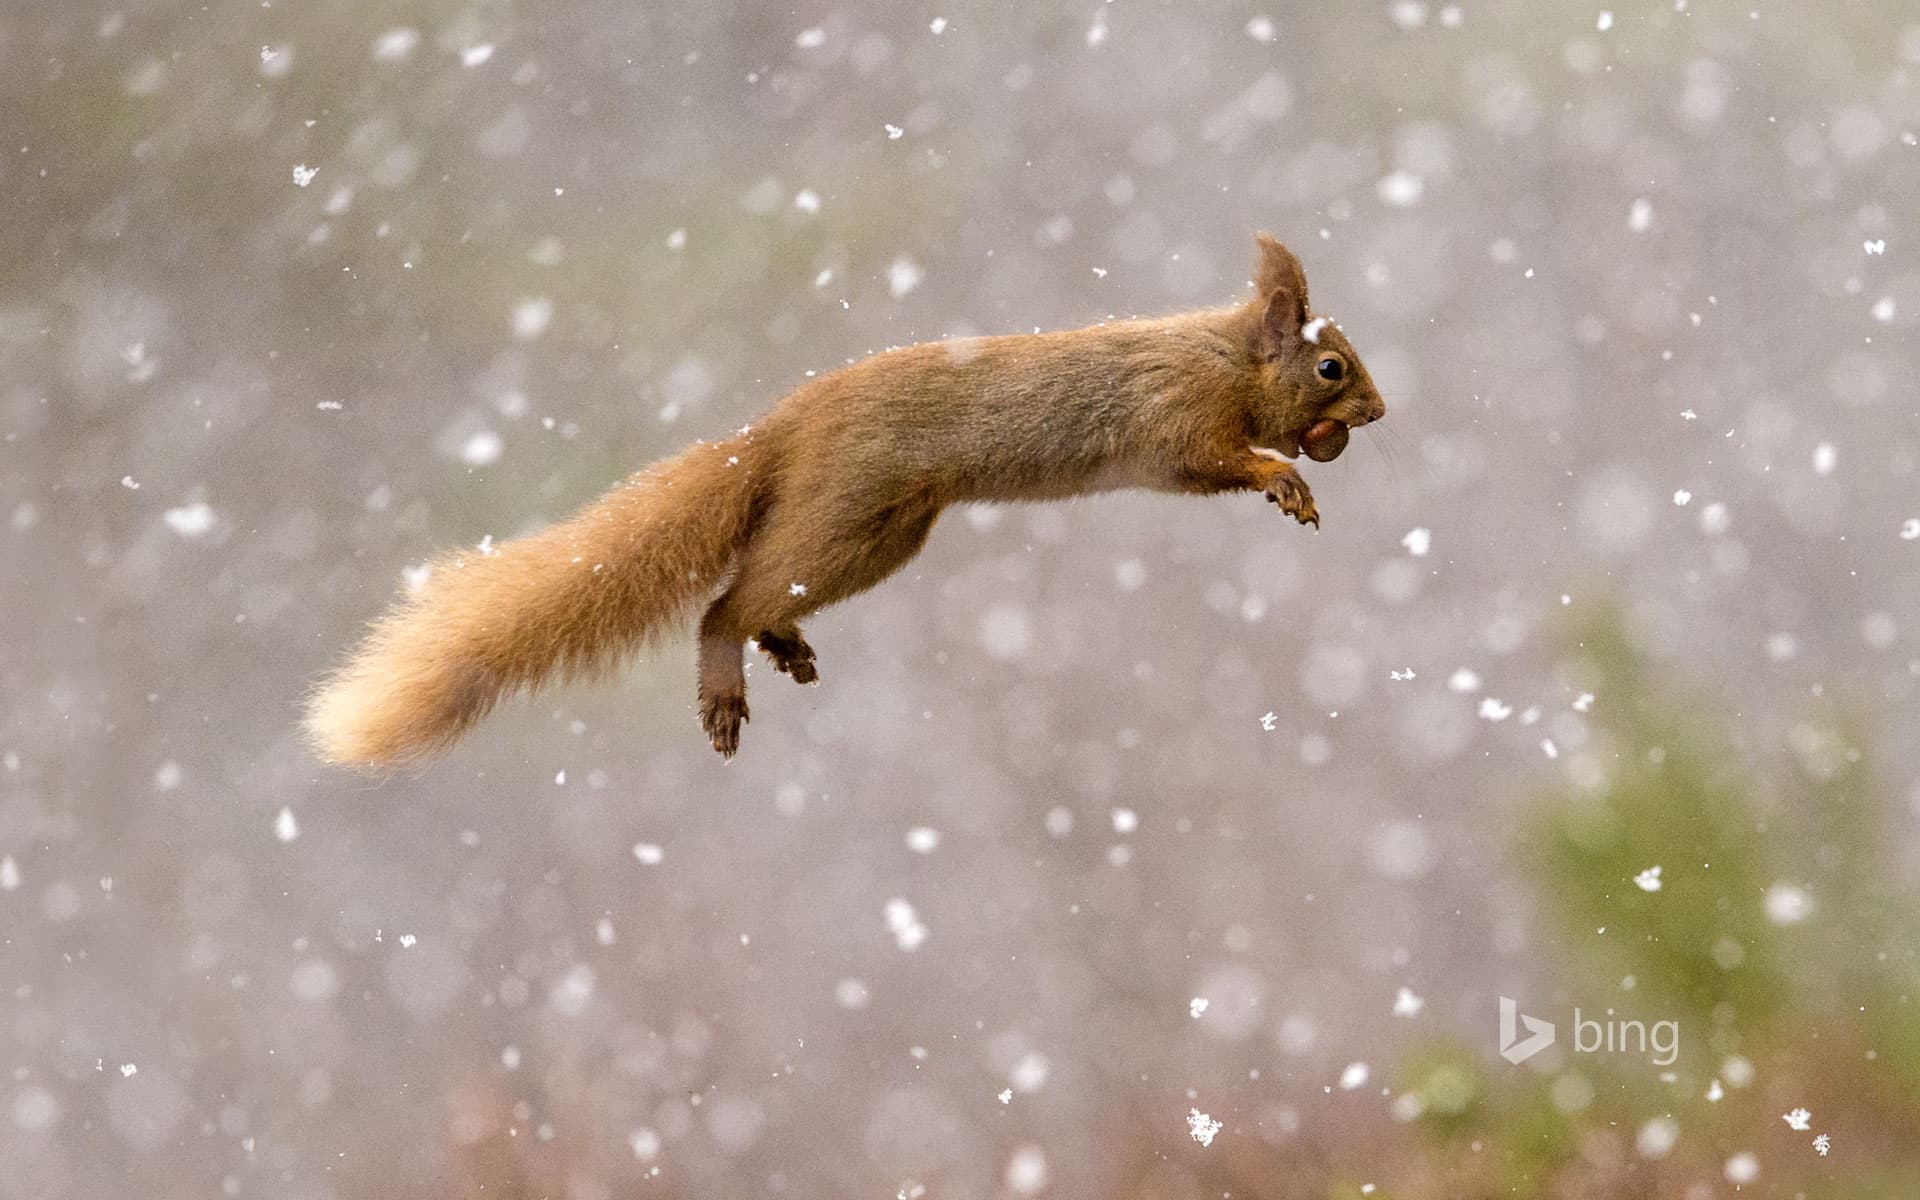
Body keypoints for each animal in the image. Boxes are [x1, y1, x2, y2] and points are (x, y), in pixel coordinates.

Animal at [305, 233, 1386, 764]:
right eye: (1330, 367)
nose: (1377, 412)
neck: (1227, 356)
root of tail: (780, 431)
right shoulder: (1174, 418)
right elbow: (1215, 459)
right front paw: (1282, 479)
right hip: (847, 514)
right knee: (722, 603)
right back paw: (726, 680)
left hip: (881, 537)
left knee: (758, 593)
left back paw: (780, 646)